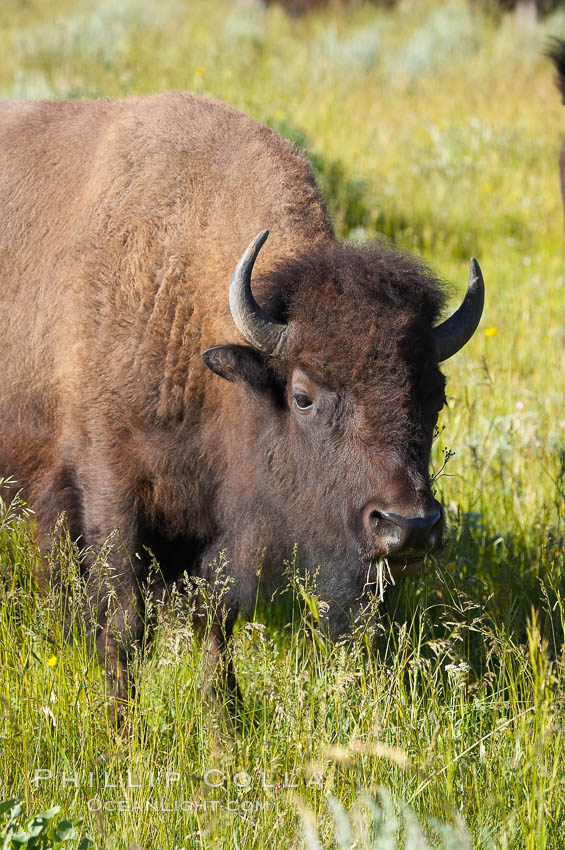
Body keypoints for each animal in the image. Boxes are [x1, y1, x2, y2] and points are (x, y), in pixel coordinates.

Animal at [0, 93, 484, 712]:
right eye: (302, 397)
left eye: (437, 398)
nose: (410, 526)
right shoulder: (108, 488)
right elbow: (124, 622)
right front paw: (122, 722)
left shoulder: (221, 527)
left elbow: (216, 620)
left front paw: (224, 713)